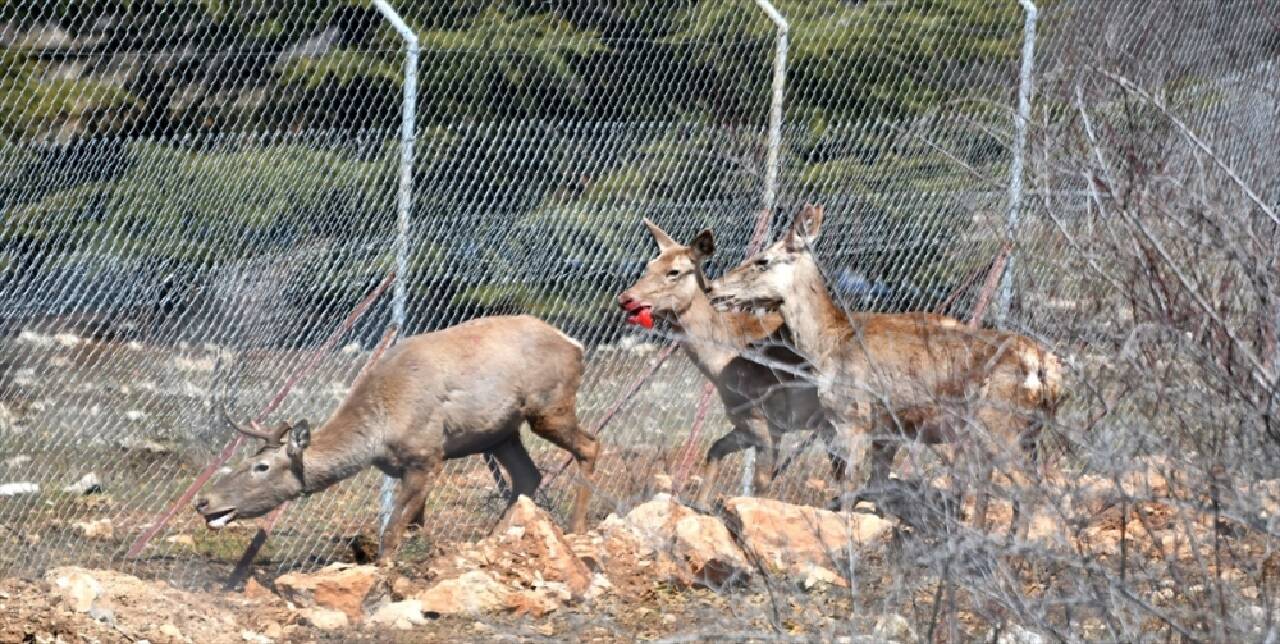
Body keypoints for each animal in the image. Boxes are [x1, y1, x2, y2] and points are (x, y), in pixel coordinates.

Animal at [193, 314, 599, 563]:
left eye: (261, 466)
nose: (203, 501)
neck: (379, 433)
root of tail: (575, 344)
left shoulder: (427, 454)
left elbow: (391, 530)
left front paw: (386, 570)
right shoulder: (406, 466)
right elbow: (414, 524)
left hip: (549, 406)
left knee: (589, 445)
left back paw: (577, 529)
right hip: (500, 432)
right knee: (527, 476)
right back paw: (491, 539)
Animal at [616, 218, 962, 507]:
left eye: (674, 271)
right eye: (649, 265)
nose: (626, 298)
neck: (722, 362)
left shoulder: (767, 420)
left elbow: (761, 483)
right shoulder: (746, 422)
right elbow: (714, 450)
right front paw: (700, 507)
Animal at [706, 203, 1064, 532]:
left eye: (762, 260)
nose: (713, 288)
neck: (827, 344)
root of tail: (1050, 372)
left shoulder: (853, 418)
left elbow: (850, 488)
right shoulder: (887, 431)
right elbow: (877, 488)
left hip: (998, 425)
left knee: (1027, 489)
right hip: (1028, 434)